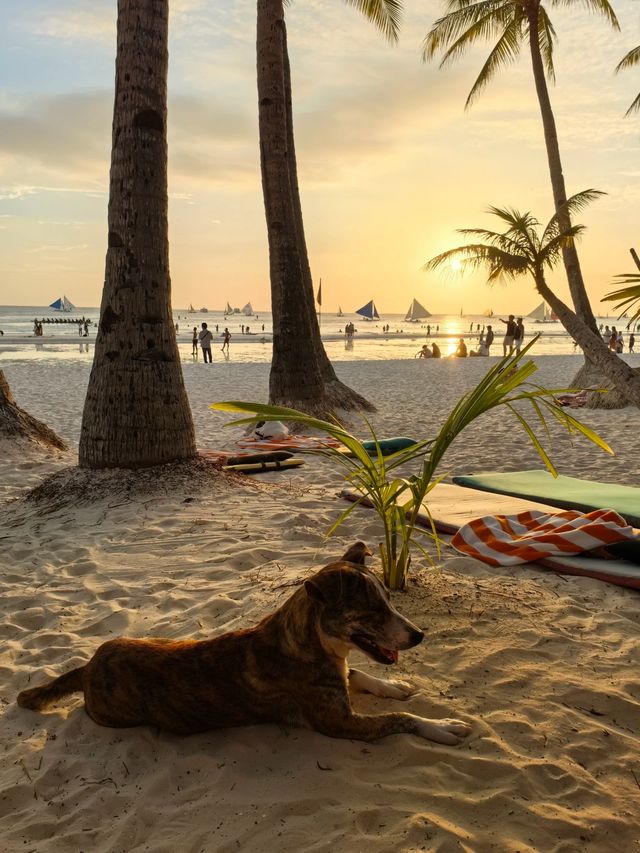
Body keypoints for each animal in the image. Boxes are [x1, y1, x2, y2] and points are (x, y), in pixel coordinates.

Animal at [17, 544, 470, 744]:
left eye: (389, 600)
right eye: (373, 609)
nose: (419, 636)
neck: (308, 642)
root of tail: (89, 666)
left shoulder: (341, 675)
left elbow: (360, 673)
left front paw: (395, 686)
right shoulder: (339, 723)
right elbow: (400, 719)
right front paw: (442, 726)